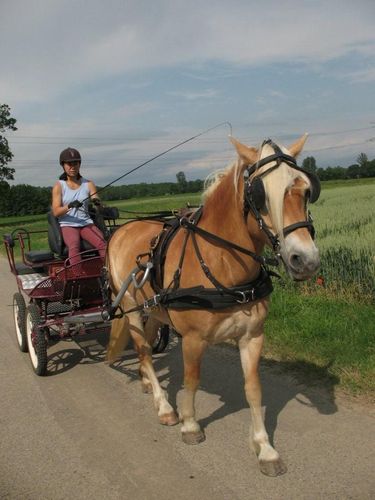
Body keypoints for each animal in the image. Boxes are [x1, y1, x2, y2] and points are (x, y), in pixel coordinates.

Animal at [105, 135, 320, 478]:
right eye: (259, 194)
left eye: (306, 189)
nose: (306, 260)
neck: (222, 261)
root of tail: (121, 230)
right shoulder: (193, 339)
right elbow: (192, 380)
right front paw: (190, 426)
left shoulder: (252, 336)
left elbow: (254, 390)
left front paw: (265, 449)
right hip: (130, 306)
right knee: (143, 350)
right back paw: (164, 406)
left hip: (155, 309)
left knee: (148, 347)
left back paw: (147, 383)